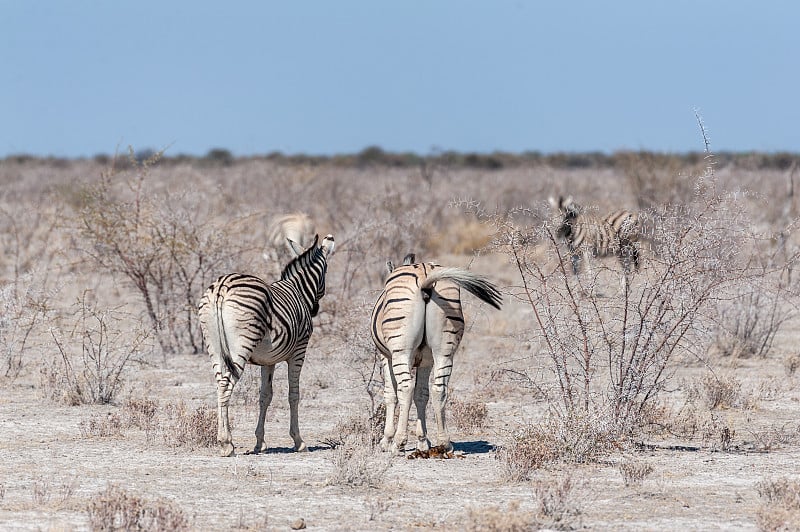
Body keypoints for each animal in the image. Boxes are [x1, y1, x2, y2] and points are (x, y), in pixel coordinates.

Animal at [198, 234, 334, 458]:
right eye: (326, 273)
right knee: (227, 385)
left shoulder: (268, 360)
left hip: (213, 347)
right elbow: (293, 395)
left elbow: (265, 396)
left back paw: (224, 440)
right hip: (240, 346)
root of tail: (221, 287)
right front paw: (299, 441)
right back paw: (227, 443)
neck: (299, 290)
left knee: (219, 384)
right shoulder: (299, 351)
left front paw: (260, 443)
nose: (315, 309)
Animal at [368, 256, 500, 456]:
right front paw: (423, 441)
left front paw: (386, 440)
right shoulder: (426, 361)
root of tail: (425, 277)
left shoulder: (386, 357)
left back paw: (398, 443)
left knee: (405, 388)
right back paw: (444, 443)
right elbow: (422, 394)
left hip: (401, 351)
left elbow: (391, 395)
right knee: (439, 390)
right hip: (444, 349)